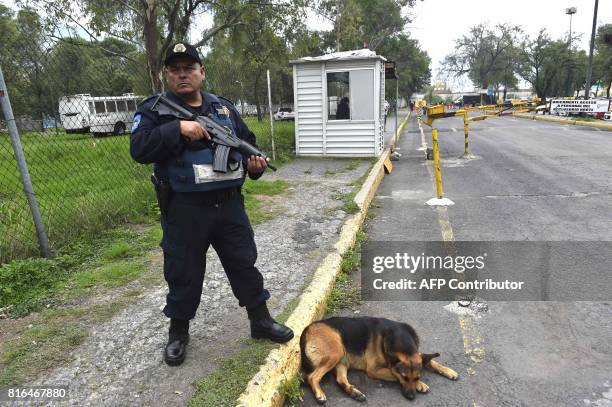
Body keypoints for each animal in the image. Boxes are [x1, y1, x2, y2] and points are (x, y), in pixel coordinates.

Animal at [298, 318, 456, 404]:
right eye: (405, 377)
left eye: (417, 377)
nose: (411, 397)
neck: (401, 339)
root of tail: (307, 329)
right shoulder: (374, 370)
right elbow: (394, 374)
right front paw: (421, 385)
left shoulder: (416, 354)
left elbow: (430, 361)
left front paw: (448, 371)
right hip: (335, 353)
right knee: (312, 377)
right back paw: (319, 393)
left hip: (342, 360)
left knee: (340, 380)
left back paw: (354, 392)